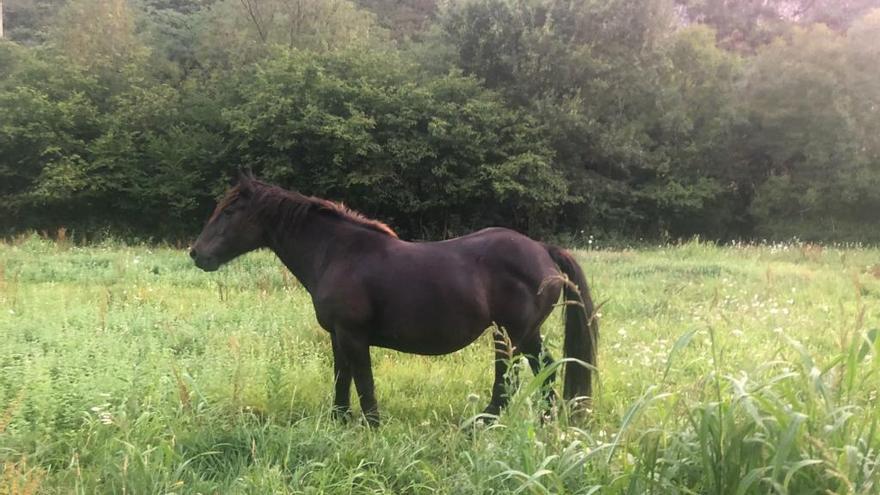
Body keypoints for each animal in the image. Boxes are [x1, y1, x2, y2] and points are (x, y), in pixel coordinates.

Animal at [188, 174, 596, 426]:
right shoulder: (337, 336)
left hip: (518, 333)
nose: (196, 253)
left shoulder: (353, 335)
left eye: (229, 211)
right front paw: (339, 419)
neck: (337, 253)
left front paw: (371, 425)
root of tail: (542, 249)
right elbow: (342, 378)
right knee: (521, 372)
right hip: (508, 333)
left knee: (535, 371)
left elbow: (363, 382)